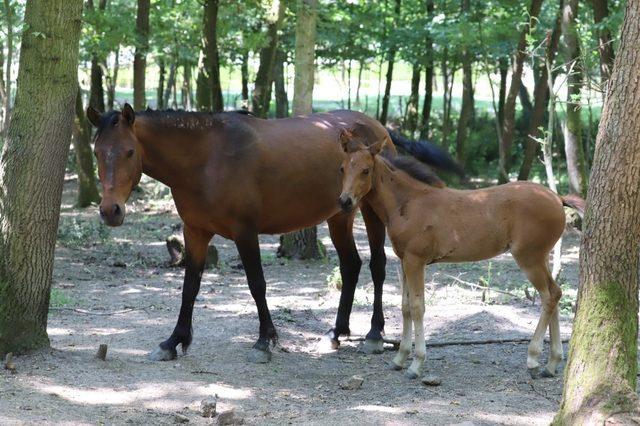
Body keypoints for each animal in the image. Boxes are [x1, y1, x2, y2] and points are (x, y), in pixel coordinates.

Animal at [87, 103, 458, 362]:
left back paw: (374, 335)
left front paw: (265, 340)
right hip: (340, 214)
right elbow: (189, 287)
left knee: (377, 266)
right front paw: (173, 341)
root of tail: (379, 129)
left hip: (370, 211)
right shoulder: (195, 232)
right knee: (350, 265)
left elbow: (257, 284)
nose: (110, 210)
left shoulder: (245, 232)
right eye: (97, 152)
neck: (206, 159)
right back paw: (336, 333)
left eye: (129, 151)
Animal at [338, 133, 584, 380]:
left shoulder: (416, 261)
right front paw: (399, 359)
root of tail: (557, 198)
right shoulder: (404, 260)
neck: (409, 203)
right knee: (554, 293)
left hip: (528, 258)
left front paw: (416, 364)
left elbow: (417, 308)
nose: (345, 201)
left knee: (549, 295)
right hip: (540, 257)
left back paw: (533, 359)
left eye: (366, 170)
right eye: (342, 168)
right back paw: (551, 364)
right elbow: (405, 307)